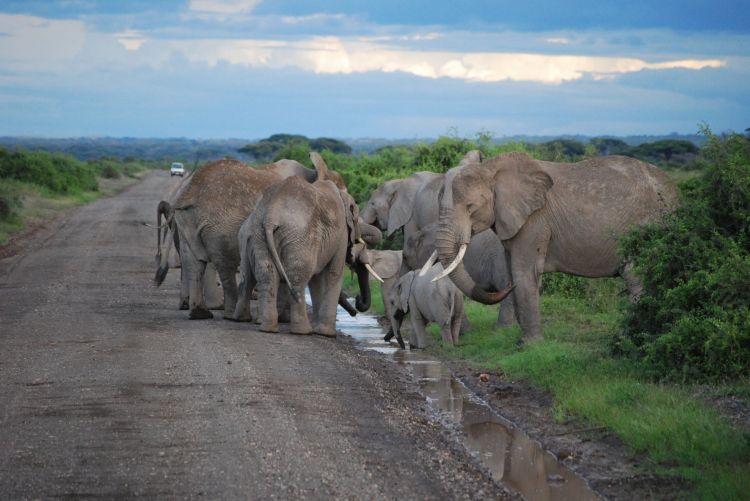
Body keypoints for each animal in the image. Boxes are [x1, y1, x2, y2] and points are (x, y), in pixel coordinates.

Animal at [432, 150, 680, 342]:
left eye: (470, 207)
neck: (492, 169)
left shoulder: (535, 222)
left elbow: (524, 273)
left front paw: (528, 345)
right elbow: (512, 271)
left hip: (650, 226)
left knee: (636, 279)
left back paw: (625, 340)